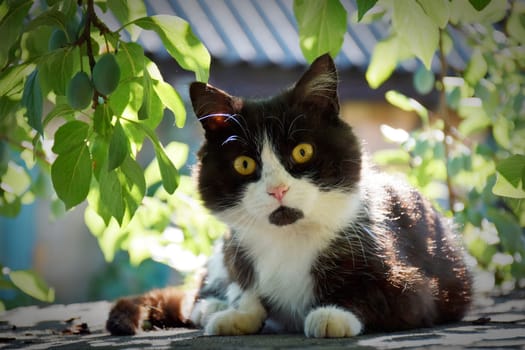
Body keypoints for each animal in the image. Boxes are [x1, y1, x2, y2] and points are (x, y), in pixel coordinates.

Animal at [105, 53, 470, 338]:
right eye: (244, 163)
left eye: (303, 151)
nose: (277, 189)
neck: (289, 237)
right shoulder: (237, 249)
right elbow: (244, 288)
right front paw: (238, 312)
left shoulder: (414, 284)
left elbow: (380, 294)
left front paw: (333, 313)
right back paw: (211, 306)